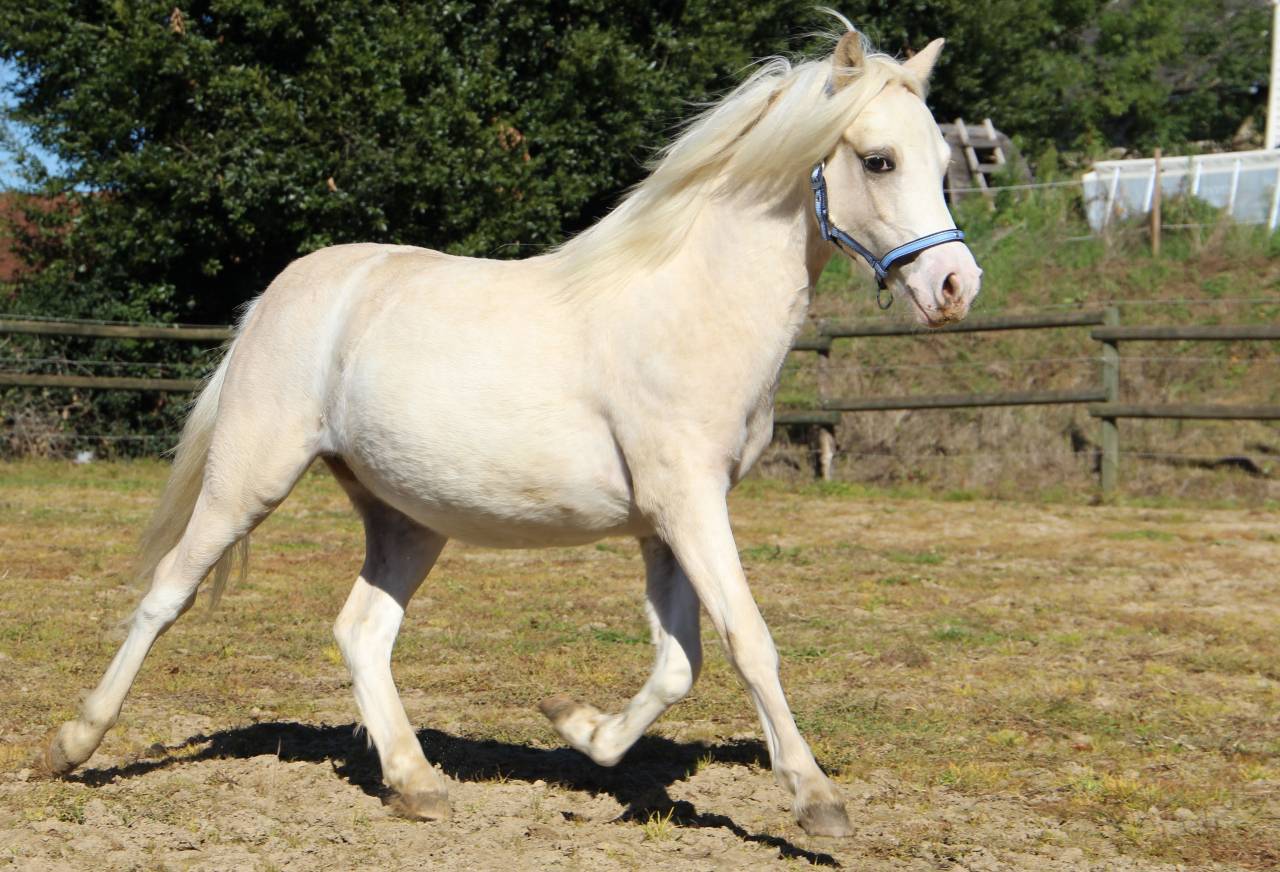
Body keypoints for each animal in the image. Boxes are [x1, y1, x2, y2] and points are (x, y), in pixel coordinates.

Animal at [40, 27, 981, 837]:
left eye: (945, 163)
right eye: (878, 160)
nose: (955, 286)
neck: (691, 307)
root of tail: (283, 292)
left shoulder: (670, 522)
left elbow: (678, 662)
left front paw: (576, 726)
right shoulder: (689, 505)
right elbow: (748, 641)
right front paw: (817, 802)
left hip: (408, 520)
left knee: (360, 631)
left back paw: (417, 783)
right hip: (250, 479)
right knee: (167, 593)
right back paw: (72, 745)